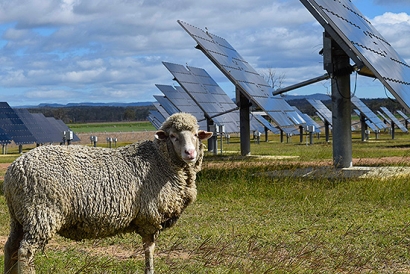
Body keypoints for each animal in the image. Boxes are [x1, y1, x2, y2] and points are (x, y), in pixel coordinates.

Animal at [3, 112, 213, 274]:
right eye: (172, 136)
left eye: (196, 135)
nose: (190, 153)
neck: (161, 160)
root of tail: (13, 170)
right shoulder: (150, 217)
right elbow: (149, 251)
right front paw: (150, 270)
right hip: (41, 213)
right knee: (25, 252)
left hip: (20, 217)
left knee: (10, 247)